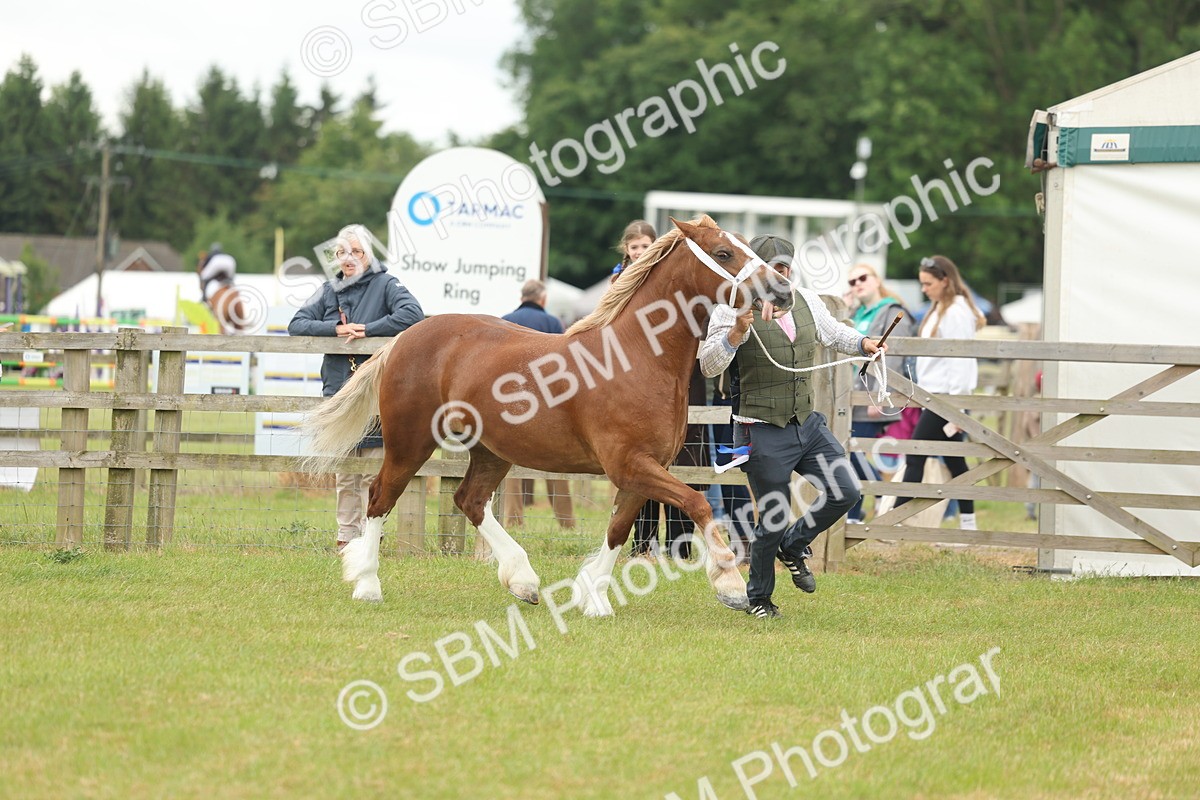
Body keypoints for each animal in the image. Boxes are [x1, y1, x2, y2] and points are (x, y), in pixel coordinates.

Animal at [302, 216, 795, 616]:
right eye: (724, 253)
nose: (784, 291)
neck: (637, 356)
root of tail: (402, 339)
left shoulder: (642, 469)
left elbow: (618, 530)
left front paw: (593, 597)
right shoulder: (631, 465)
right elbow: (695, 503)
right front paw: (730, 583)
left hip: (491, 451)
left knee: (469, 500)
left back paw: (523, 581)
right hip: (411, 442)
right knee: (381, 496)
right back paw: (367, 584)